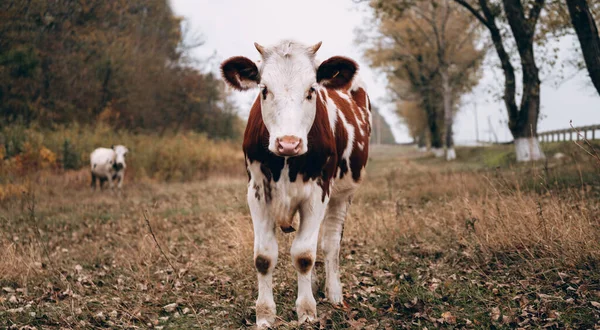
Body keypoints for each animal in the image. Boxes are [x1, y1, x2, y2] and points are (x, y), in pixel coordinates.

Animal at [220, 40, 370, 326]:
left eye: (311, 89)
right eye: (264, 90)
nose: (288, 143)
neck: (286, 164)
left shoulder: (317, 194)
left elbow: (304, 255)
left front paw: (307, 312)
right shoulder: (257, 193)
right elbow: (264, 257)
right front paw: (264, 315)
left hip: (343, 194)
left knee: (331, 243)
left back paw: (334, 293)